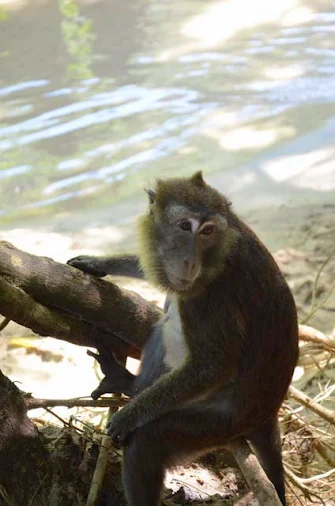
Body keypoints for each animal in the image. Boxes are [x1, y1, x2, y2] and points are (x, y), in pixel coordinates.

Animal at [68, 172, 300, 504]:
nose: (190, 262)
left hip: (220, 423)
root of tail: (268, 413)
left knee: (147, 444)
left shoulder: (210, 296)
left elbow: (212, 366)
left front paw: (129, 416)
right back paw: (129, 385)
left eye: (207, 231)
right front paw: (100, 262)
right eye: (184, 227)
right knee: (166, 320)